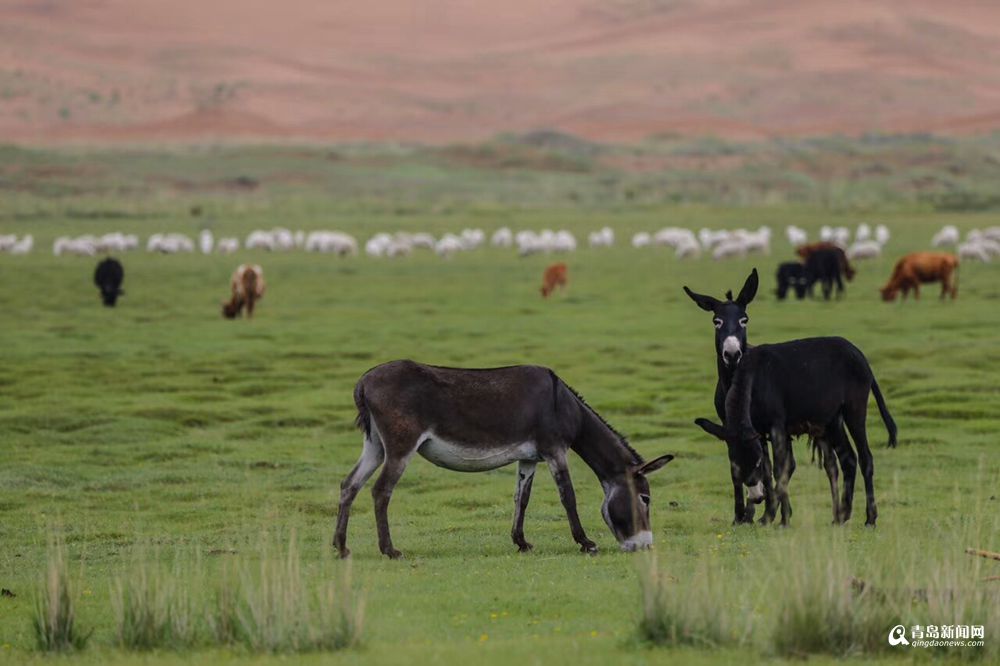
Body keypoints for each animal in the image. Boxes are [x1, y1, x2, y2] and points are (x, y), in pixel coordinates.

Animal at [332, 358, 676, 556]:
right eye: (645, 498)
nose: (646, 545)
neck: (565, 405)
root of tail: (364, 381)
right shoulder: (555, 450)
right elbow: (568, 496)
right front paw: (586, 542)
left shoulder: (529, 458)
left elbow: (521, 499)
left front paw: (521, 542)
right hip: (400, 447)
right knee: (381, 490)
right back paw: (389, 550)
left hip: (375, 445)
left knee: (349, 485)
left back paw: (341, 546)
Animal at [684, 268, 896, 524]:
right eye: (717, 321)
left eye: (744, 320)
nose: (732, 353)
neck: (747, 376)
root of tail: (857, 352)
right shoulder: (740, 429)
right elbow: (753, 470)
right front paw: (743, 517)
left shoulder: (776, 426)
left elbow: (779, 468)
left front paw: (775, 517)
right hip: (831, 419)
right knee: (847, 460)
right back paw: (841, 517)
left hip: (854, 409)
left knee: (865, 458)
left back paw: (870, 518)